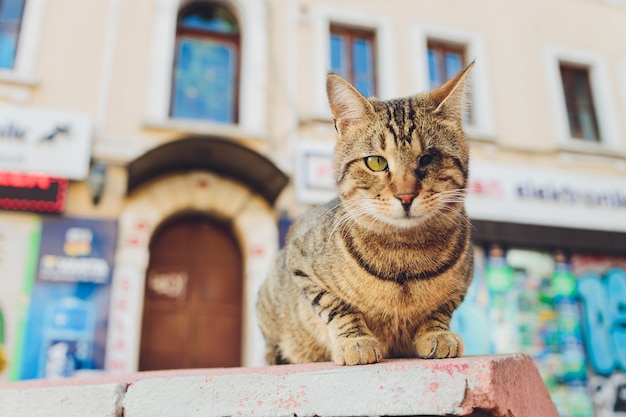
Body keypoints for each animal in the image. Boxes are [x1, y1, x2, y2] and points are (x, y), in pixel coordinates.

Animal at [256, 61, 470, 364]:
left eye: (428, 158)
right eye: (376, 162)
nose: (405, 195)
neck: (405, 252)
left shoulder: (461, 285)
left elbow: (440, 309)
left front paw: (437, 333)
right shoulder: (299, 263)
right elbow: (337, 307)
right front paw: (355, 340)